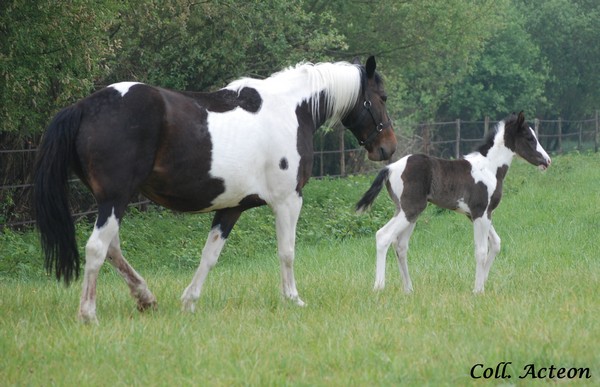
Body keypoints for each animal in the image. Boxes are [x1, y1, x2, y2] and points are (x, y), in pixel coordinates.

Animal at [358, 112, 552, 294]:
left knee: (400, 245)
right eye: (530, 138)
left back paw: (408, 289)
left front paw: (483, 282)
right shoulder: (480, 213)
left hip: (407, 212)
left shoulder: (479, 214)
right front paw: (478, 290)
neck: (490, 168)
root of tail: (389, 168)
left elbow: (496, 244)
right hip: (410, 210)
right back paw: (379, 287)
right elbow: (481, 251)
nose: (547, 161)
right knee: (383, 236)